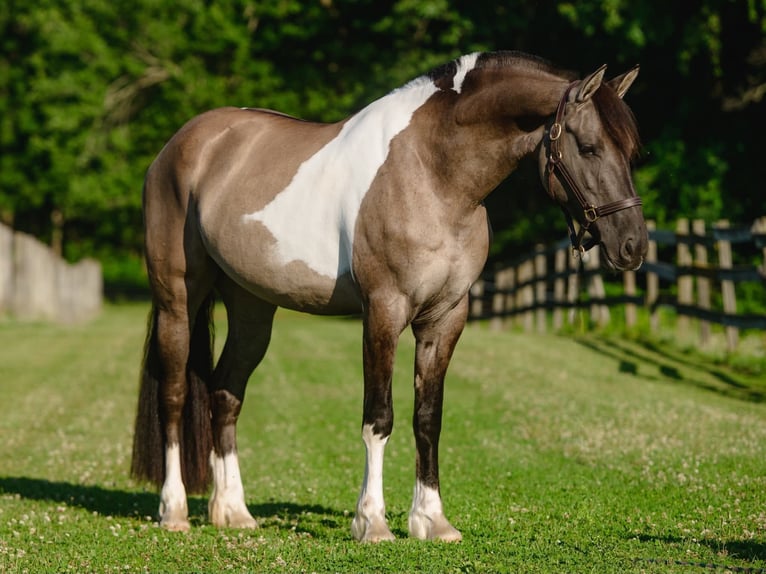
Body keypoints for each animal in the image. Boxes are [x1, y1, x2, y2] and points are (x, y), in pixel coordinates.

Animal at [131, 51, 647, 542]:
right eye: (588, 147)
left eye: (630, 151)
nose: (633, 246)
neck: (434, 175)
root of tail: (182, 146)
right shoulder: (383, 311)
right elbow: (378, 418)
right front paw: (372, 523)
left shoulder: (445, 319)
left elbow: (428, 418)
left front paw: (432, 521)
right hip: (178, 300)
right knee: (174, 395)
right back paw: (174, 511)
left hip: (251, 307)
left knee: (225, 393)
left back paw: (233, 513)